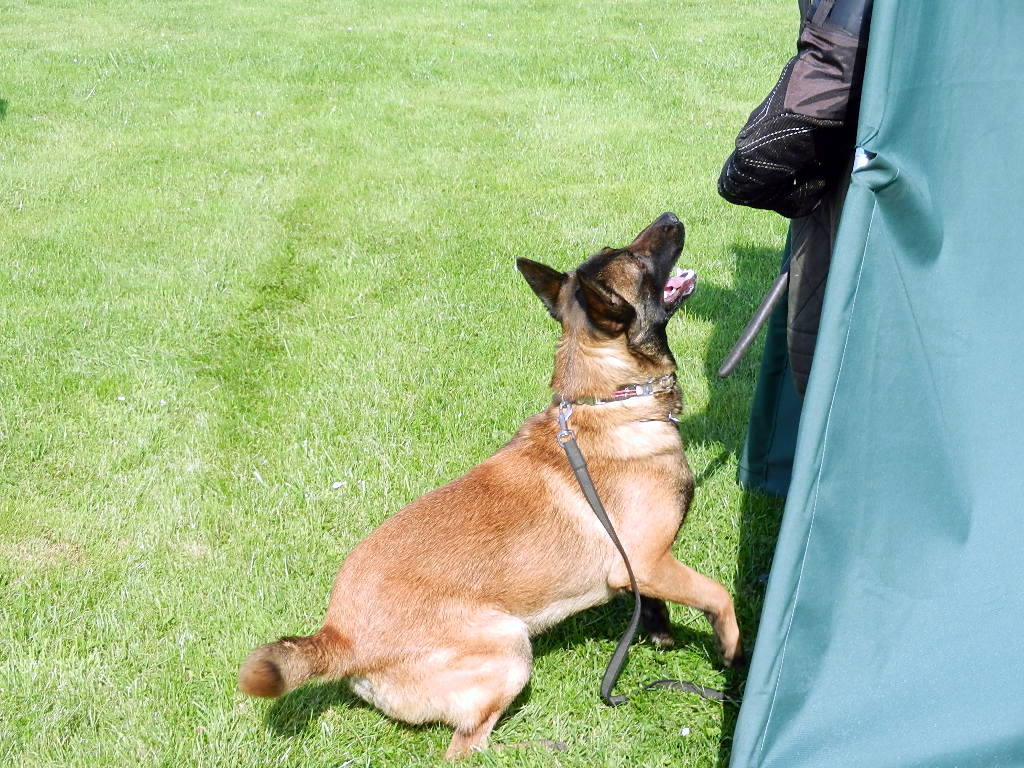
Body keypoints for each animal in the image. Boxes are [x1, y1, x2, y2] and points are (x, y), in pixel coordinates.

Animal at [238, 212, 742, 759]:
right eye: (634, 257)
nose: (671, 218)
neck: (611, 399)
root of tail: (340, 637)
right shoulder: (650, 561)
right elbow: (719, 596)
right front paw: (734, 652)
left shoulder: (641, 569)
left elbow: (652, 603)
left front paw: (661, 635)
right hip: (511, 646)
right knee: (466, 746)